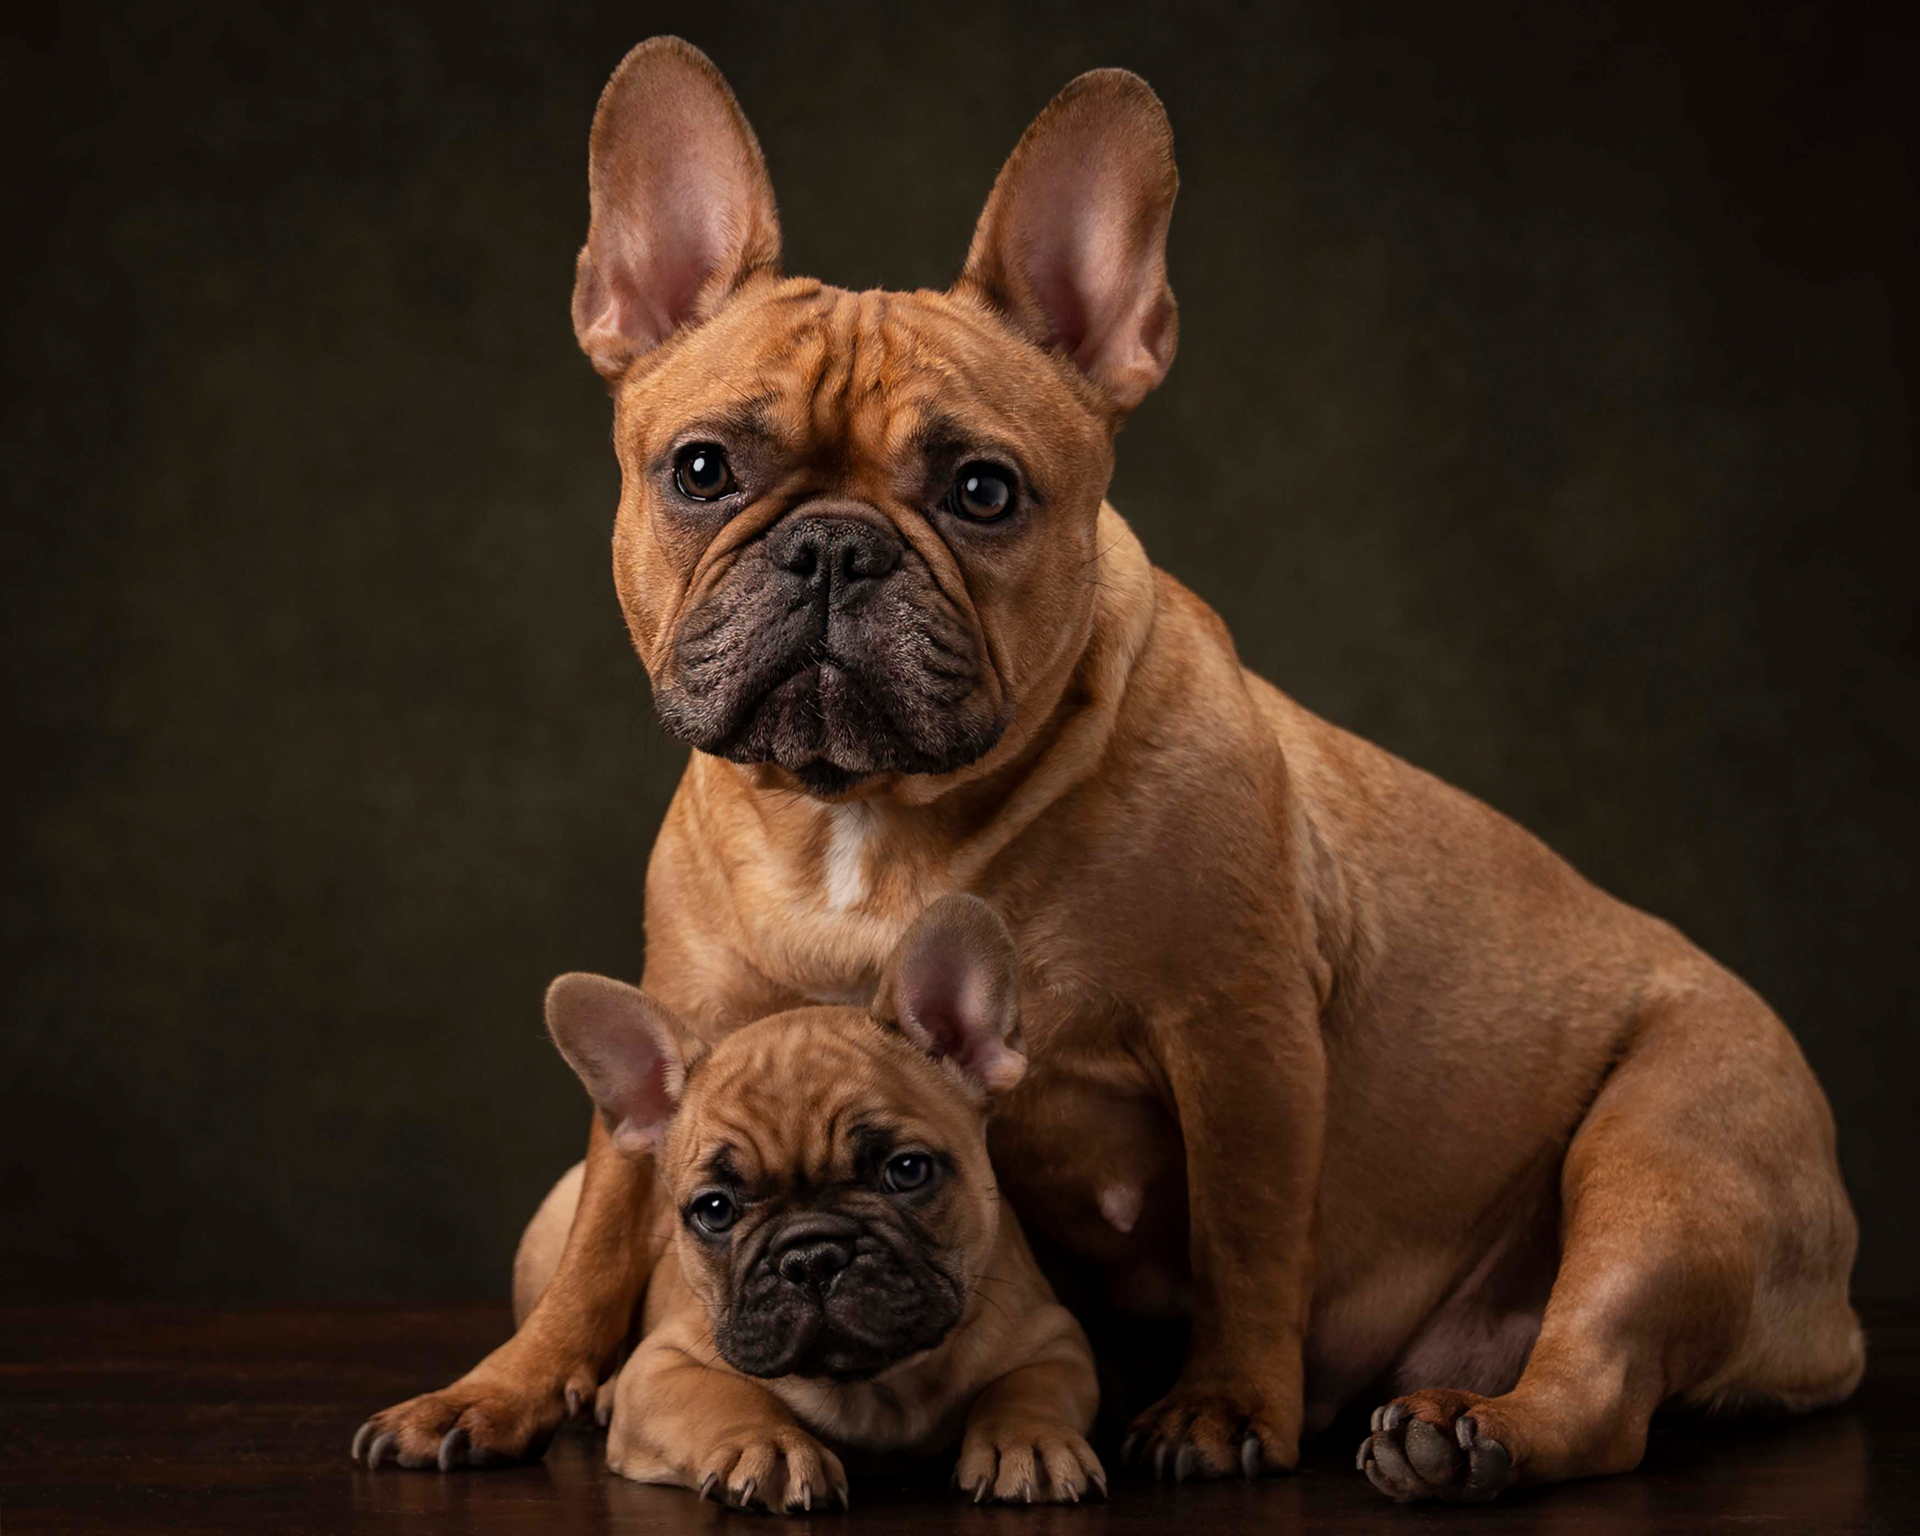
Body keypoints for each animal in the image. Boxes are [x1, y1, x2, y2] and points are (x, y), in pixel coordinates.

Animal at [522, 894, 1098, 1505]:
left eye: (907, 1171)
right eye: (714, 1210)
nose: (810, 1256)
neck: (878, 1386)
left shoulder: (1055, 1340)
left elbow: (1027, 1390)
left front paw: (1030, 1439)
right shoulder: (661, 1368)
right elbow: (726, 1398)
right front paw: (767, 1445)